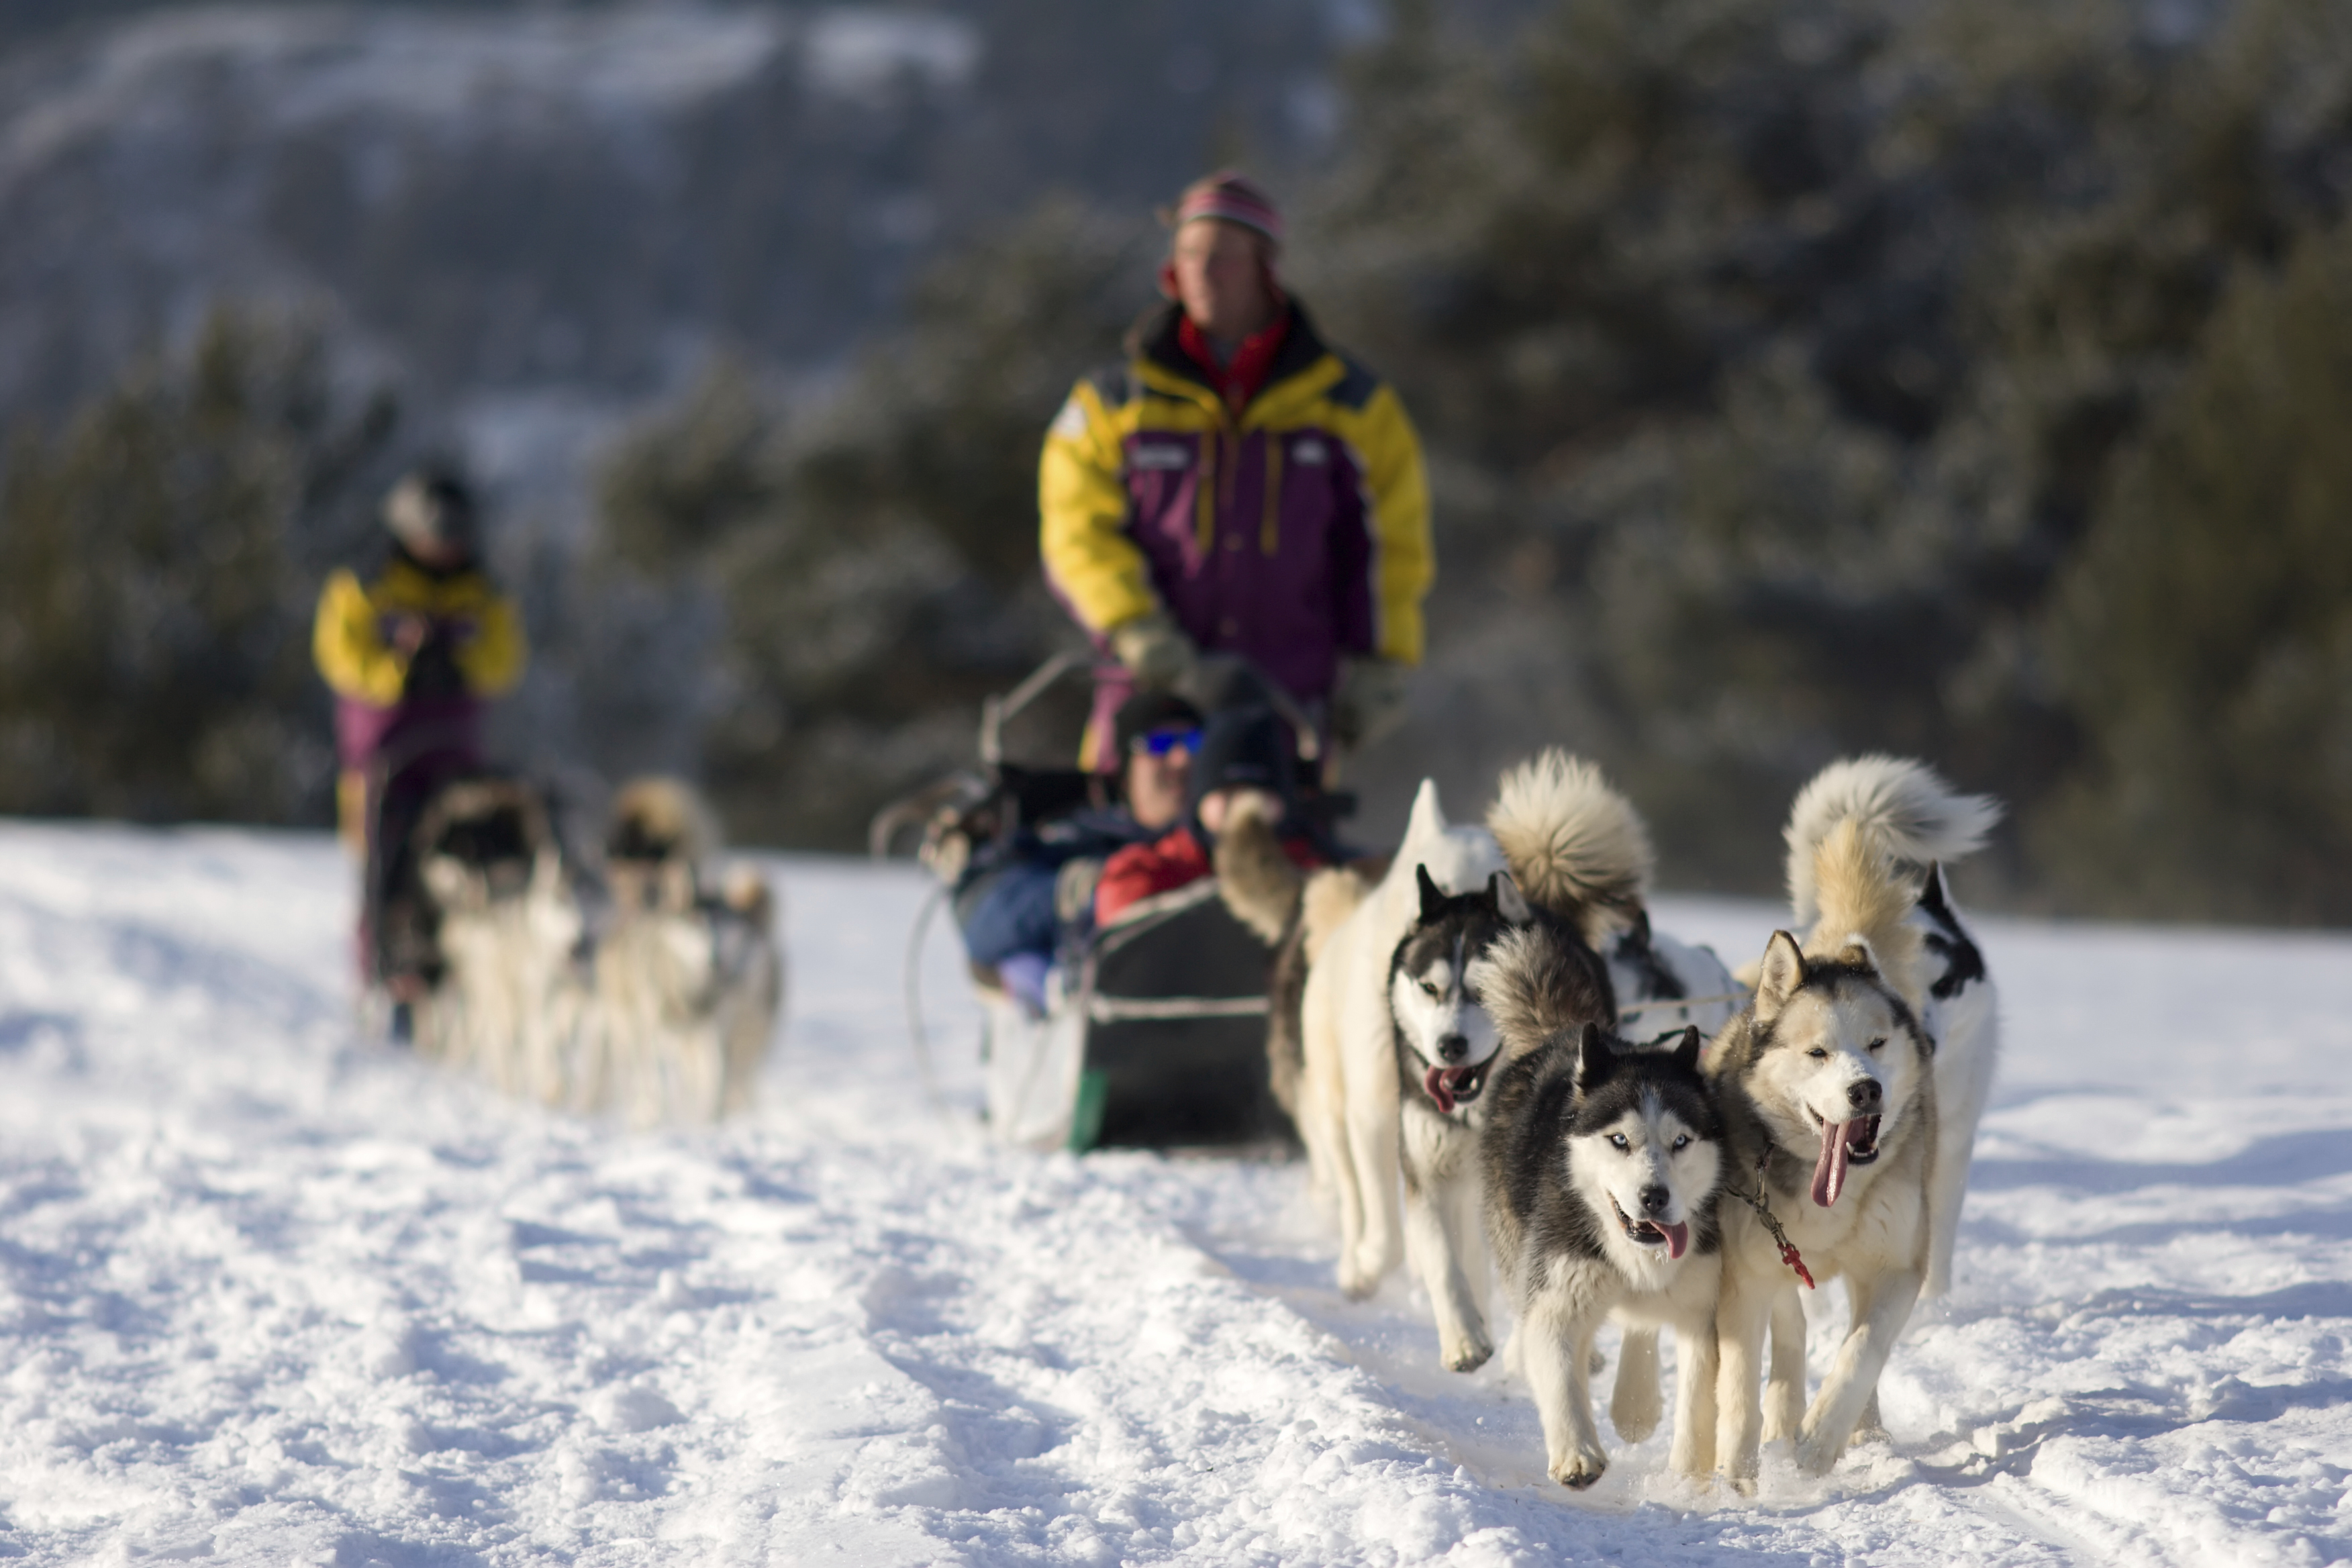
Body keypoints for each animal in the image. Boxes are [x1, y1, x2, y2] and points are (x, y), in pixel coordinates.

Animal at [411, 775, 585, 1105]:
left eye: (576, 907)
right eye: (558, 905)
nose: (579, 941)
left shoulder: (554, 993)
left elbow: (557, 1030)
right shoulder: (528, 1003)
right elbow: (537, 1047)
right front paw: (546, 1087)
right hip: (490, 1003)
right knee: (499, 1049)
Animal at [585, 775, 781, 1124]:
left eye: (728, 928)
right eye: (696, 924)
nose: (717, 961)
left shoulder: (710, 1035)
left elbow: (713, 1084)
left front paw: (707, 1124)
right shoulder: (650, 1030)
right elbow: (656, 1080)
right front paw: (657, 1118)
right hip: (627, 1029)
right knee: (635, 1071)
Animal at [1486, 1024, 1730, 1495]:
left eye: (1680, 1141)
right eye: (1619, 1140)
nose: (1654, 1197)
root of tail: (1565, 1033)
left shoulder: (1701, 1305)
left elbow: (1695, 1398)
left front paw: (1687, 1478)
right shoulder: (1557, 1296)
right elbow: (1560, 1376)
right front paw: (1577, 1455)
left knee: (1641, 1322)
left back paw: (1636, 1404)